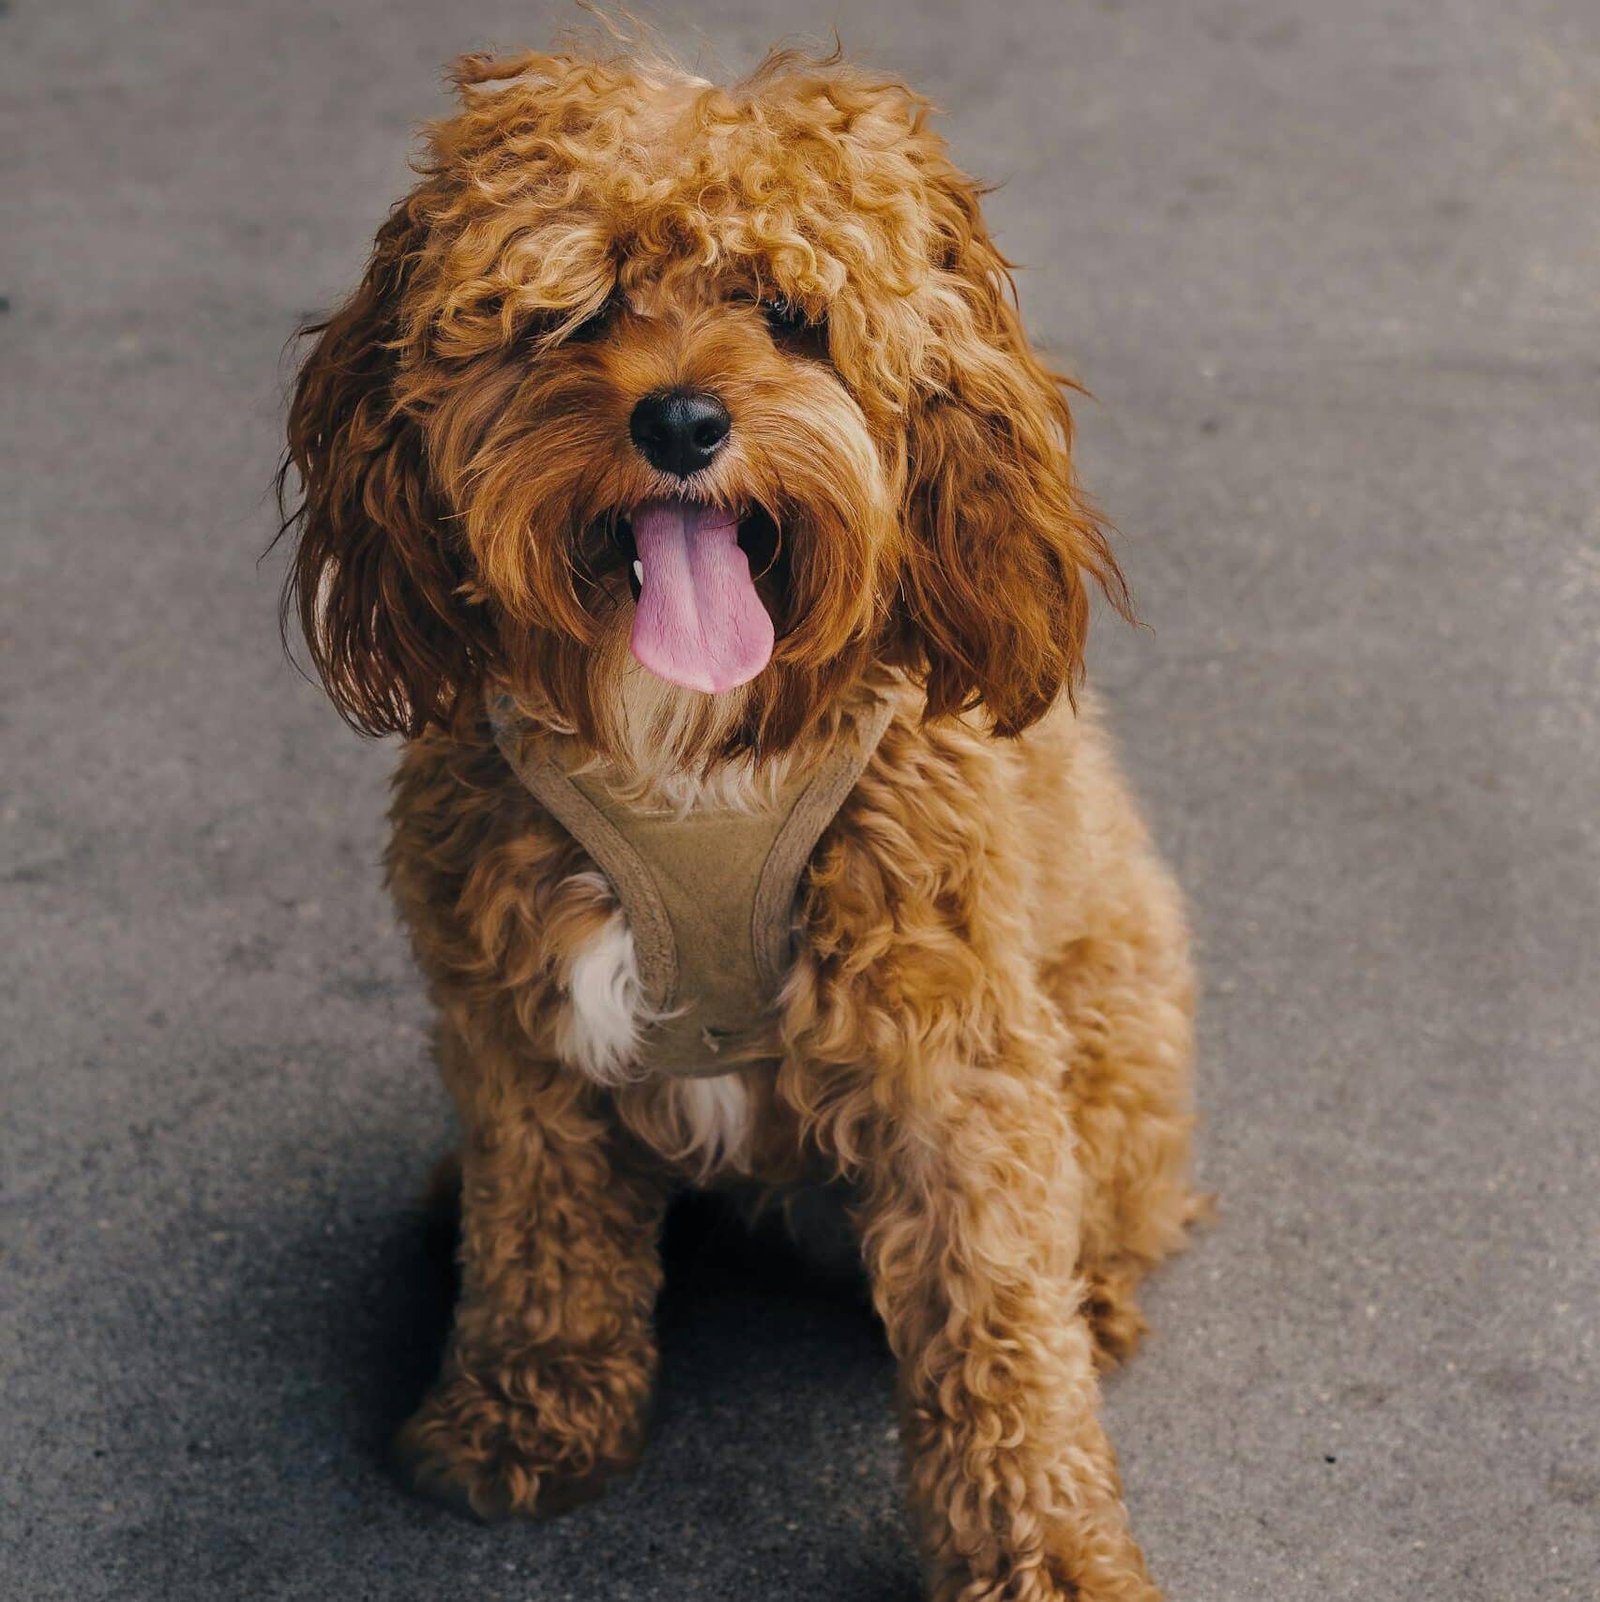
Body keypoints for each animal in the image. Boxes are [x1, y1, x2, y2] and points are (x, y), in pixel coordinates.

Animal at [278, 37, 1204, 1602]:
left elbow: (1000, 1337)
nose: (682, 419)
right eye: (572, 309)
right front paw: (521, 1414)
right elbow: (542, 1233)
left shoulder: (953, 1059)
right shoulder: (517, 1024)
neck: (689, 753)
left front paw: (1051, 1554)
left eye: (788, 314)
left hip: (1113, 1049)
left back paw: (1095, 1286)